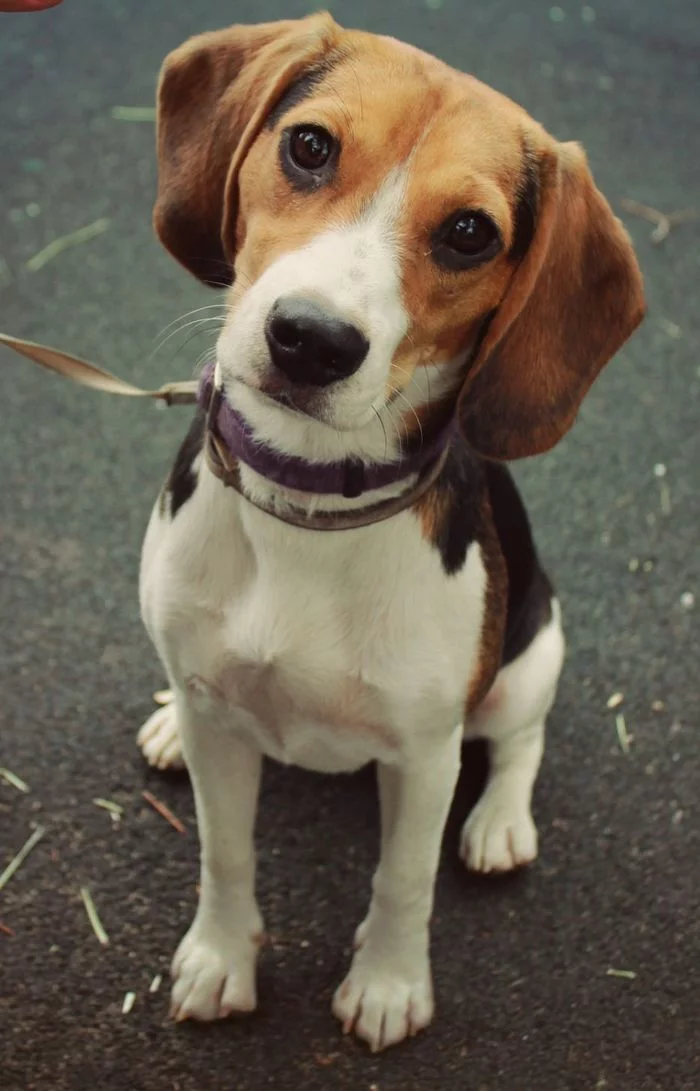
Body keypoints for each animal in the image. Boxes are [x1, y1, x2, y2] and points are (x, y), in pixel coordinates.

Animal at [136, 8, 645, 1047]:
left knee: (520, 738)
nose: (311, 339)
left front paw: (387, 983)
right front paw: (219, 957)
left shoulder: (421, 755)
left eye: (469, 233)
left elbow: (404, 878)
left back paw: (498, 824)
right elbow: (224, 852)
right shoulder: (222, 734)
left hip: (535, 647)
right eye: (309, 146)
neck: (310, 506)